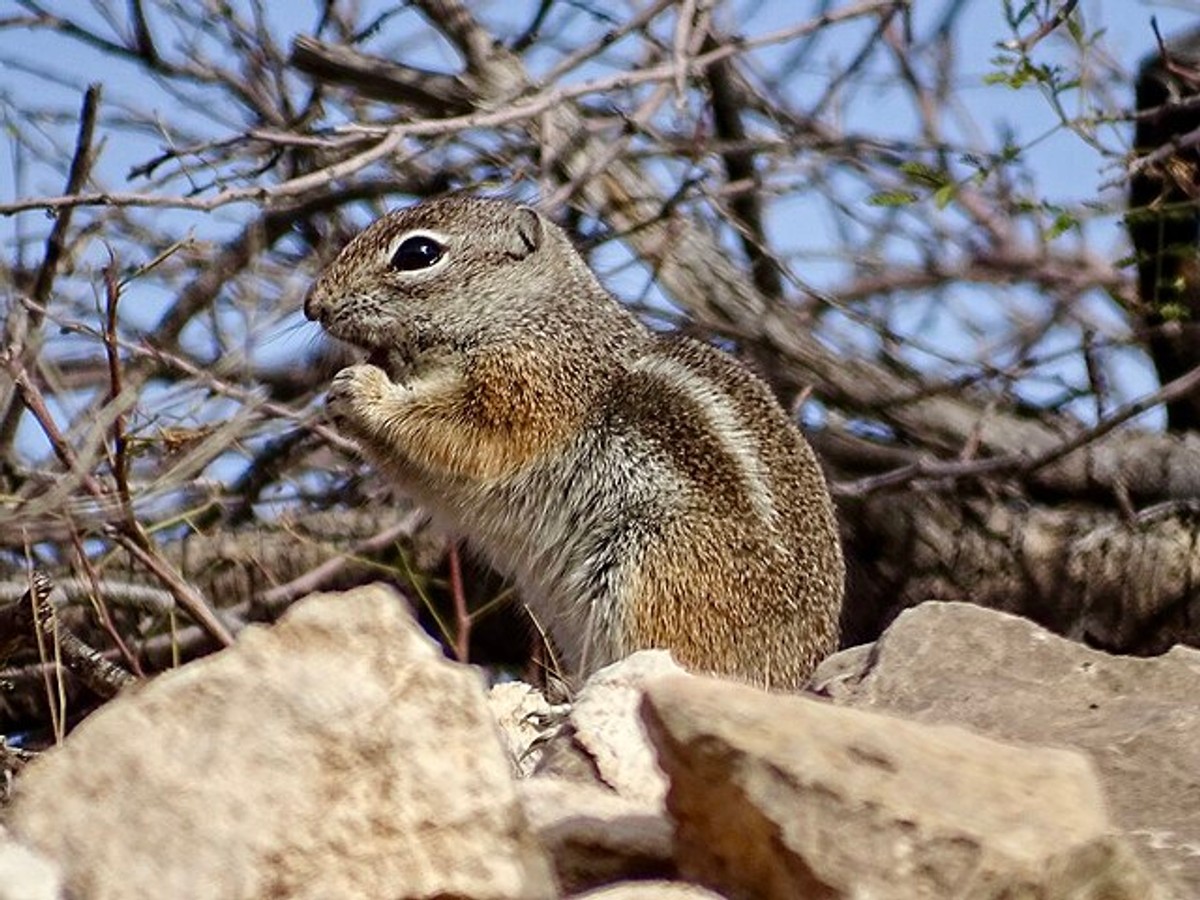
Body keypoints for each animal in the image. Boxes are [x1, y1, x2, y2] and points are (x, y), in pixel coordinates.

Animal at [304, 196, 844, 690]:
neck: (531, 314)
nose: (312, 306)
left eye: (418, 253)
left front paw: (362, 389)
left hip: (653, 566)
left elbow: (462, 433)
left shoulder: (529, 385)